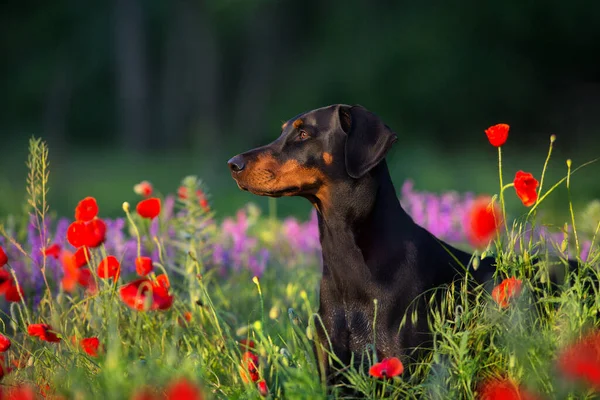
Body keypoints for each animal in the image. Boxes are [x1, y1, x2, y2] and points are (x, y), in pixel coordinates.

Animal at [229, 103, 572, 388]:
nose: (233, 163)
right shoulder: (332, 371)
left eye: (303, 133)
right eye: (283, 130)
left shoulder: (402, 369)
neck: (348, 260)